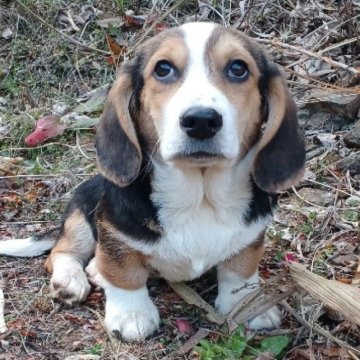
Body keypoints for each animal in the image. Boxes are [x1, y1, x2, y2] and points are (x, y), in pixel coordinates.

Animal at [0, 21, 306, 342]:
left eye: (238, 68)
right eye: (163, 69)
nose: (201, 121)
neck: (200, 195)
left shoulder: (250, 238)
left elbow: (240, 272)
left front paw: (248, 305)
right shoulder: (115, 233)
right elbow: (124, 273)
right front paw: (131, 315)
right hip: (81, 211)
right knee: (62, 252)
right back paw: (72, 279)